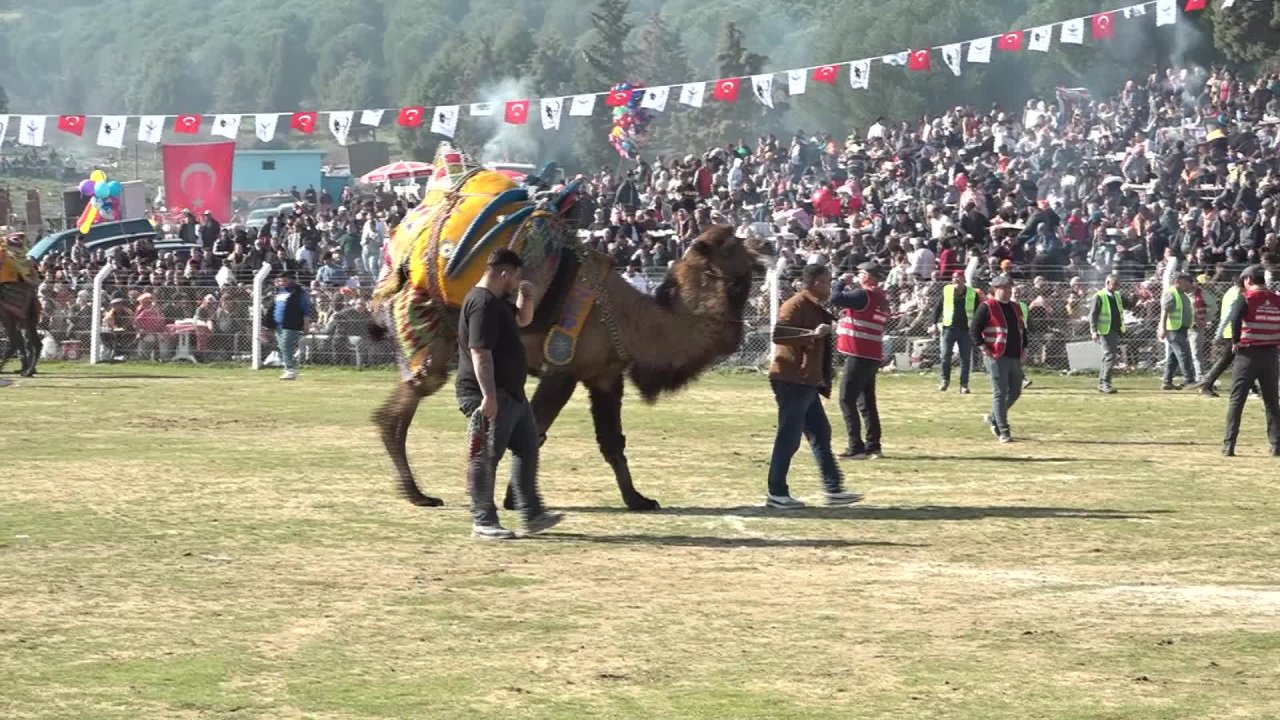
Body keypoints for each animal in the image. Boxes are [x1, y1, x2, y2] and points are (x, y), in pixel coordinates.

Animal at [371, 142, 768, 507]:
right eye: (733, 249)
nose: (762, 245)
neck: (630, 319)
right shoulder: (563, 368)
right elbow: (537, 428)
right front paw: (514, 499)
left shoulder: (604, 375)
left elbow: (611, 441)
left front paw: (638, 499)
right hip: (421, 321)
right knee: (401, 407)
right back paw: (418, 494)